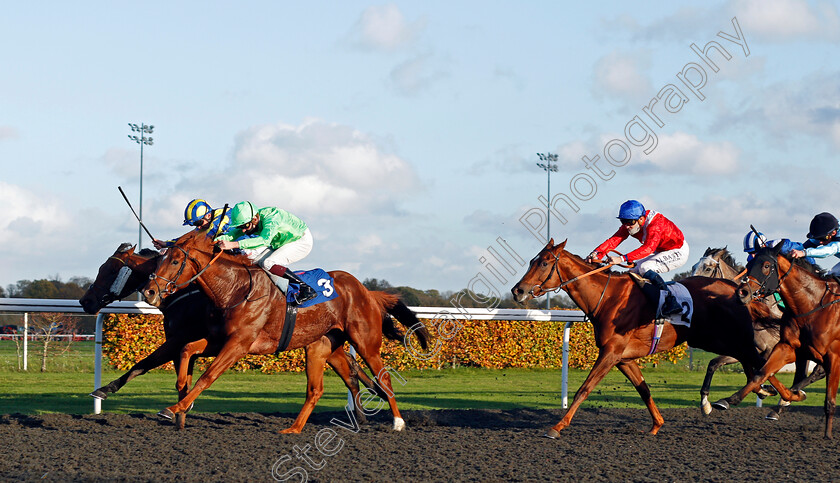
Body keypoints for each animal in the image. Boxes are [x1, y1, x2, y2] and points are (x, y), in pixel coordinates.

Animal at [80, 244, 376, 430]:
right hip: (325, 344)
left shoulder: (185, 340)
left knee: (354, 372)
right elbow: (173, 371)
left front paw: (178, 412)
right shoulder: (205, 341)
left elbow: (146, 366)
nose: (85, 302)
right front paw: (180, 413)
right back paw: (361, 417)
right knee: (350, 373)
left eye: (108, 270)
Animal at [142, 229, 430, 432]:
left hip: (365, 343)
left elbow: (208, 376)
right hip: (324, 346)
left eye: (175, 260)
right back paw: (306, 427)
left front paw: (175, 407)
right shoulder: (220, 340)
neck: (235, 288)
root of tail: (366, 291)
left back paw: (397, 422)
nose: (149, 292)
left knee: (384, 378)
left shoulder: (239, 344)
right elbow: (186, 349)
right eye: (159, 259)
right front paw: (182, 396)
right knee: (332, 383)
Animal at [508, 239, 772, 438]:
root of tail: (736, 289)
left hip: (721, 338)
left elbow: (584, 389)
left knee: (754, 359)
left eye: (543, 263)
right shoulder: (623, 358)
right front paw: (657, 425)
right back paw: (760, 391)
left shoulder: (610, 352)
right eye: (532, 261)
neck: (608, 297)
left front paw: (557, 427)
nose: (517, 290)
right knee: (749, 361)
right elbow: (644, 389)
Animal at [720, 246, 840, 438]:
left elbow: (829, 399)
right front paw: (730, 399)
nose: (742, 292)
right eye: (749, 265)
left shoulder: (833, 357)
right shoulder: (788, 348)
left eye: (766, 265)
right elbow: (762, 372)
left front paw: (827, 435)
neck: (813, 305)